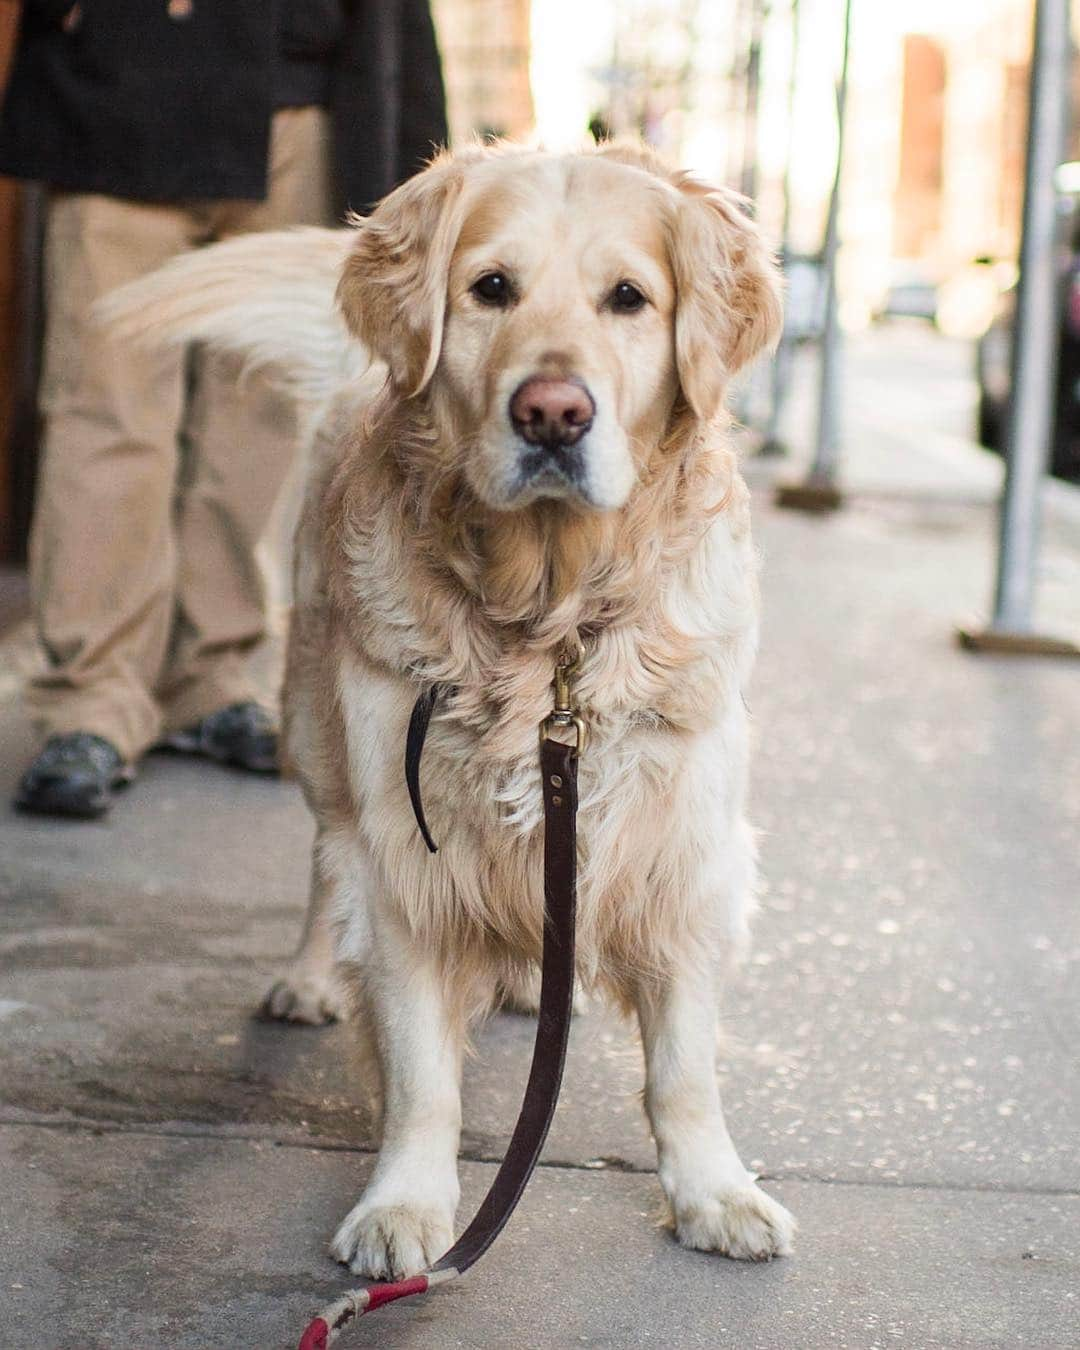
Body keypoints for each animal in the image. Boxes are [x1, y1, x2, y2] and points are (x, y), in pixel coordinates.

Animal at [105, 145, 799, 1274]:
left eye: (628, 299)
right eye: (491, 289)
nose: (553, 412)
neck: (551, 623)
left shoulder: (683, 848)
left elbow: (684, 1067)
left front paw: (714, 1191)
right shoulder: (404, 857)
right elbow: (422, 1074)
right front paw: (406, 1207)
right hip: (320, 736)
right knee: (323, 863)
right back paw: (309, 976)